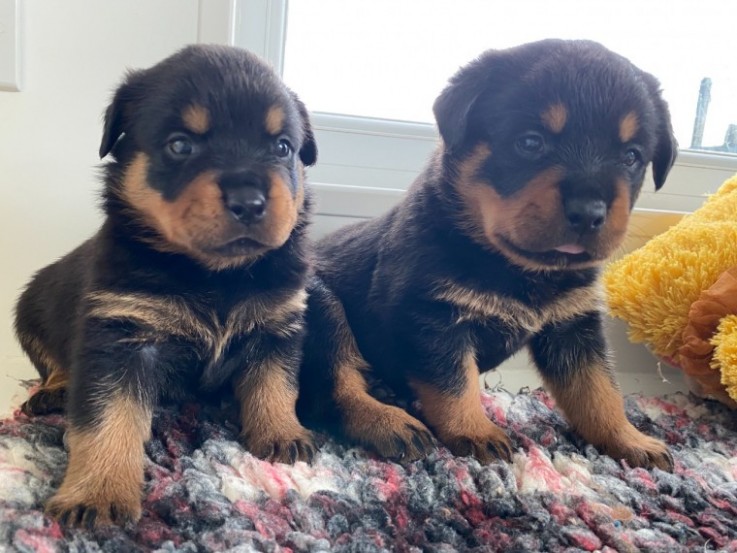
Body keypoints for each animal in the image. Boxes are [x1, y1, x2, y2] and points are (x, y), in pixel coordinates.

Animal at [15, 44, 318, 528]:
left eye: (283, 147)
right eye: (180, 145)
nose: (249, 202)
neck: (215, 275)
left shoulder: (278, 324)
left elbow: (276, 384)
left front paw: (281, 432)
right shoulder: (121, 336)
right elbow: (108, 419)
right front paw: (98, 492)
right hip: (29, 308)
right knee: (53, 363)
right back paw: (54, 390)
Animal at [296, 38, 676, 470]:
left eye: (631, 156)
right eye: (530, 142)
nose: (589, 212)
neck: (517, 268)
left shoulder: (573, 328)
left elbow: (599, 391)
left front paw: (628, 439)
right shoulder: (432, 317)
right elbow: (454, 383)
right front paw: (475, 431)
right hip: (324, 307)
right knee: (336, 386)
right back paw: (389, 421)